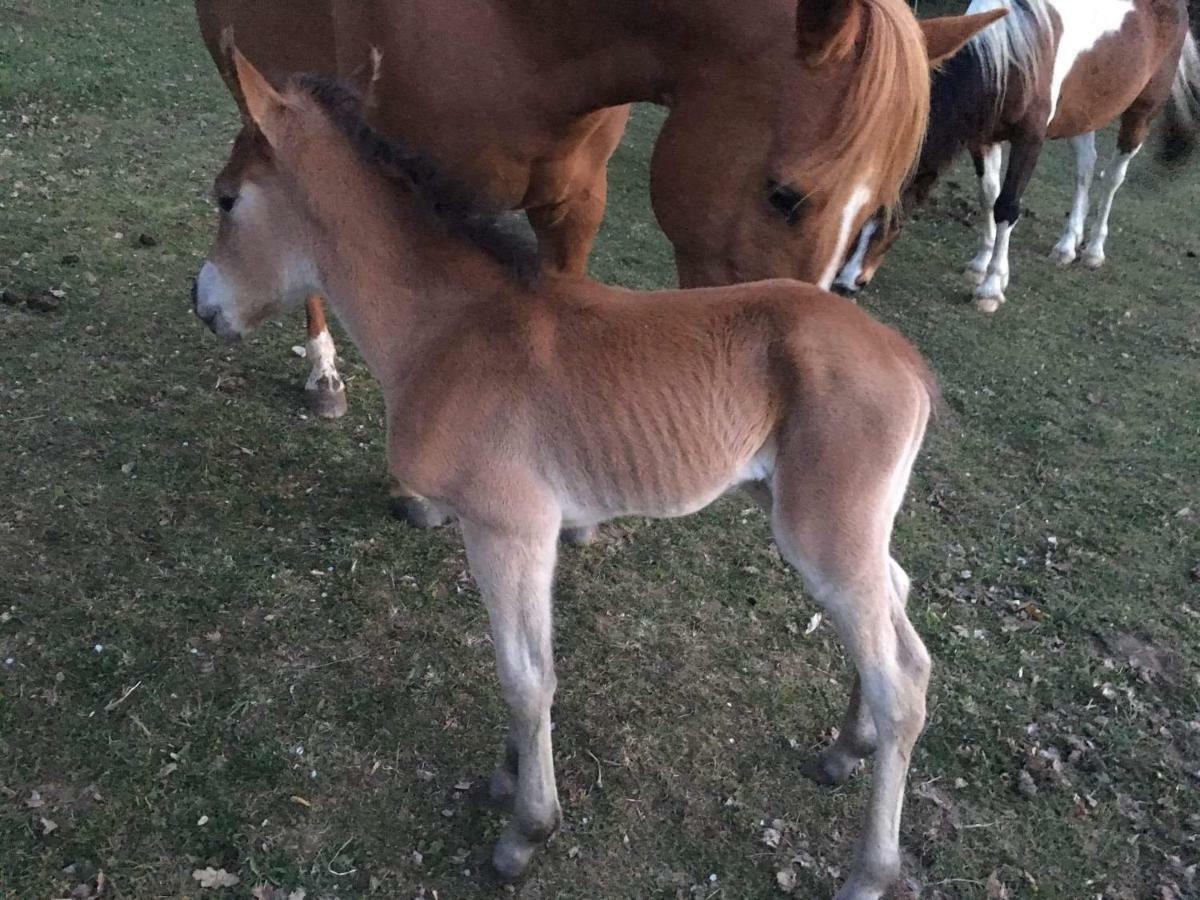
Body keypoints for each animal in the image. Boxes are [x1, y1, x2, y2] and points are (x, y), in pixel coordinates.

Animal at [196, 51, 945, 900]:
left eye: (227, 198)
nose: (202, 302)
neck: (452, 329)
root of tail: (907, 362)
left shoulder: (508, 528)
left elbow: (526, 678)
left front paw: (526, 831)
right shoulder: (527, 534)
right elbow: (527, 667)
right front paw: (506, 775)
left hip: (824, 531)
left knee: (901, 682)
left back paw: (869, 868)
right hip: (829, 518)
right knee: (897, 605)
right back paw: (845, 748)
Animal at [835, 0, 1200, 314]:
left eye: (894, 215)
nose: (845, 282)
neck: (1011, 58)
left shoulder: (1030, 140)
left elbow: (1007, 206)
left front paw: (991, 288)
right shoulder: (983, 138)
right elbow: (988, 196)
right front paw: (981, 264)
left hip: (1141, 112)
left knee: (1113, 177)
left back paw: (1094, 250)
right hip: (1085, 112)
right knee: (1085, 166)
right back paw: (1067, 245)